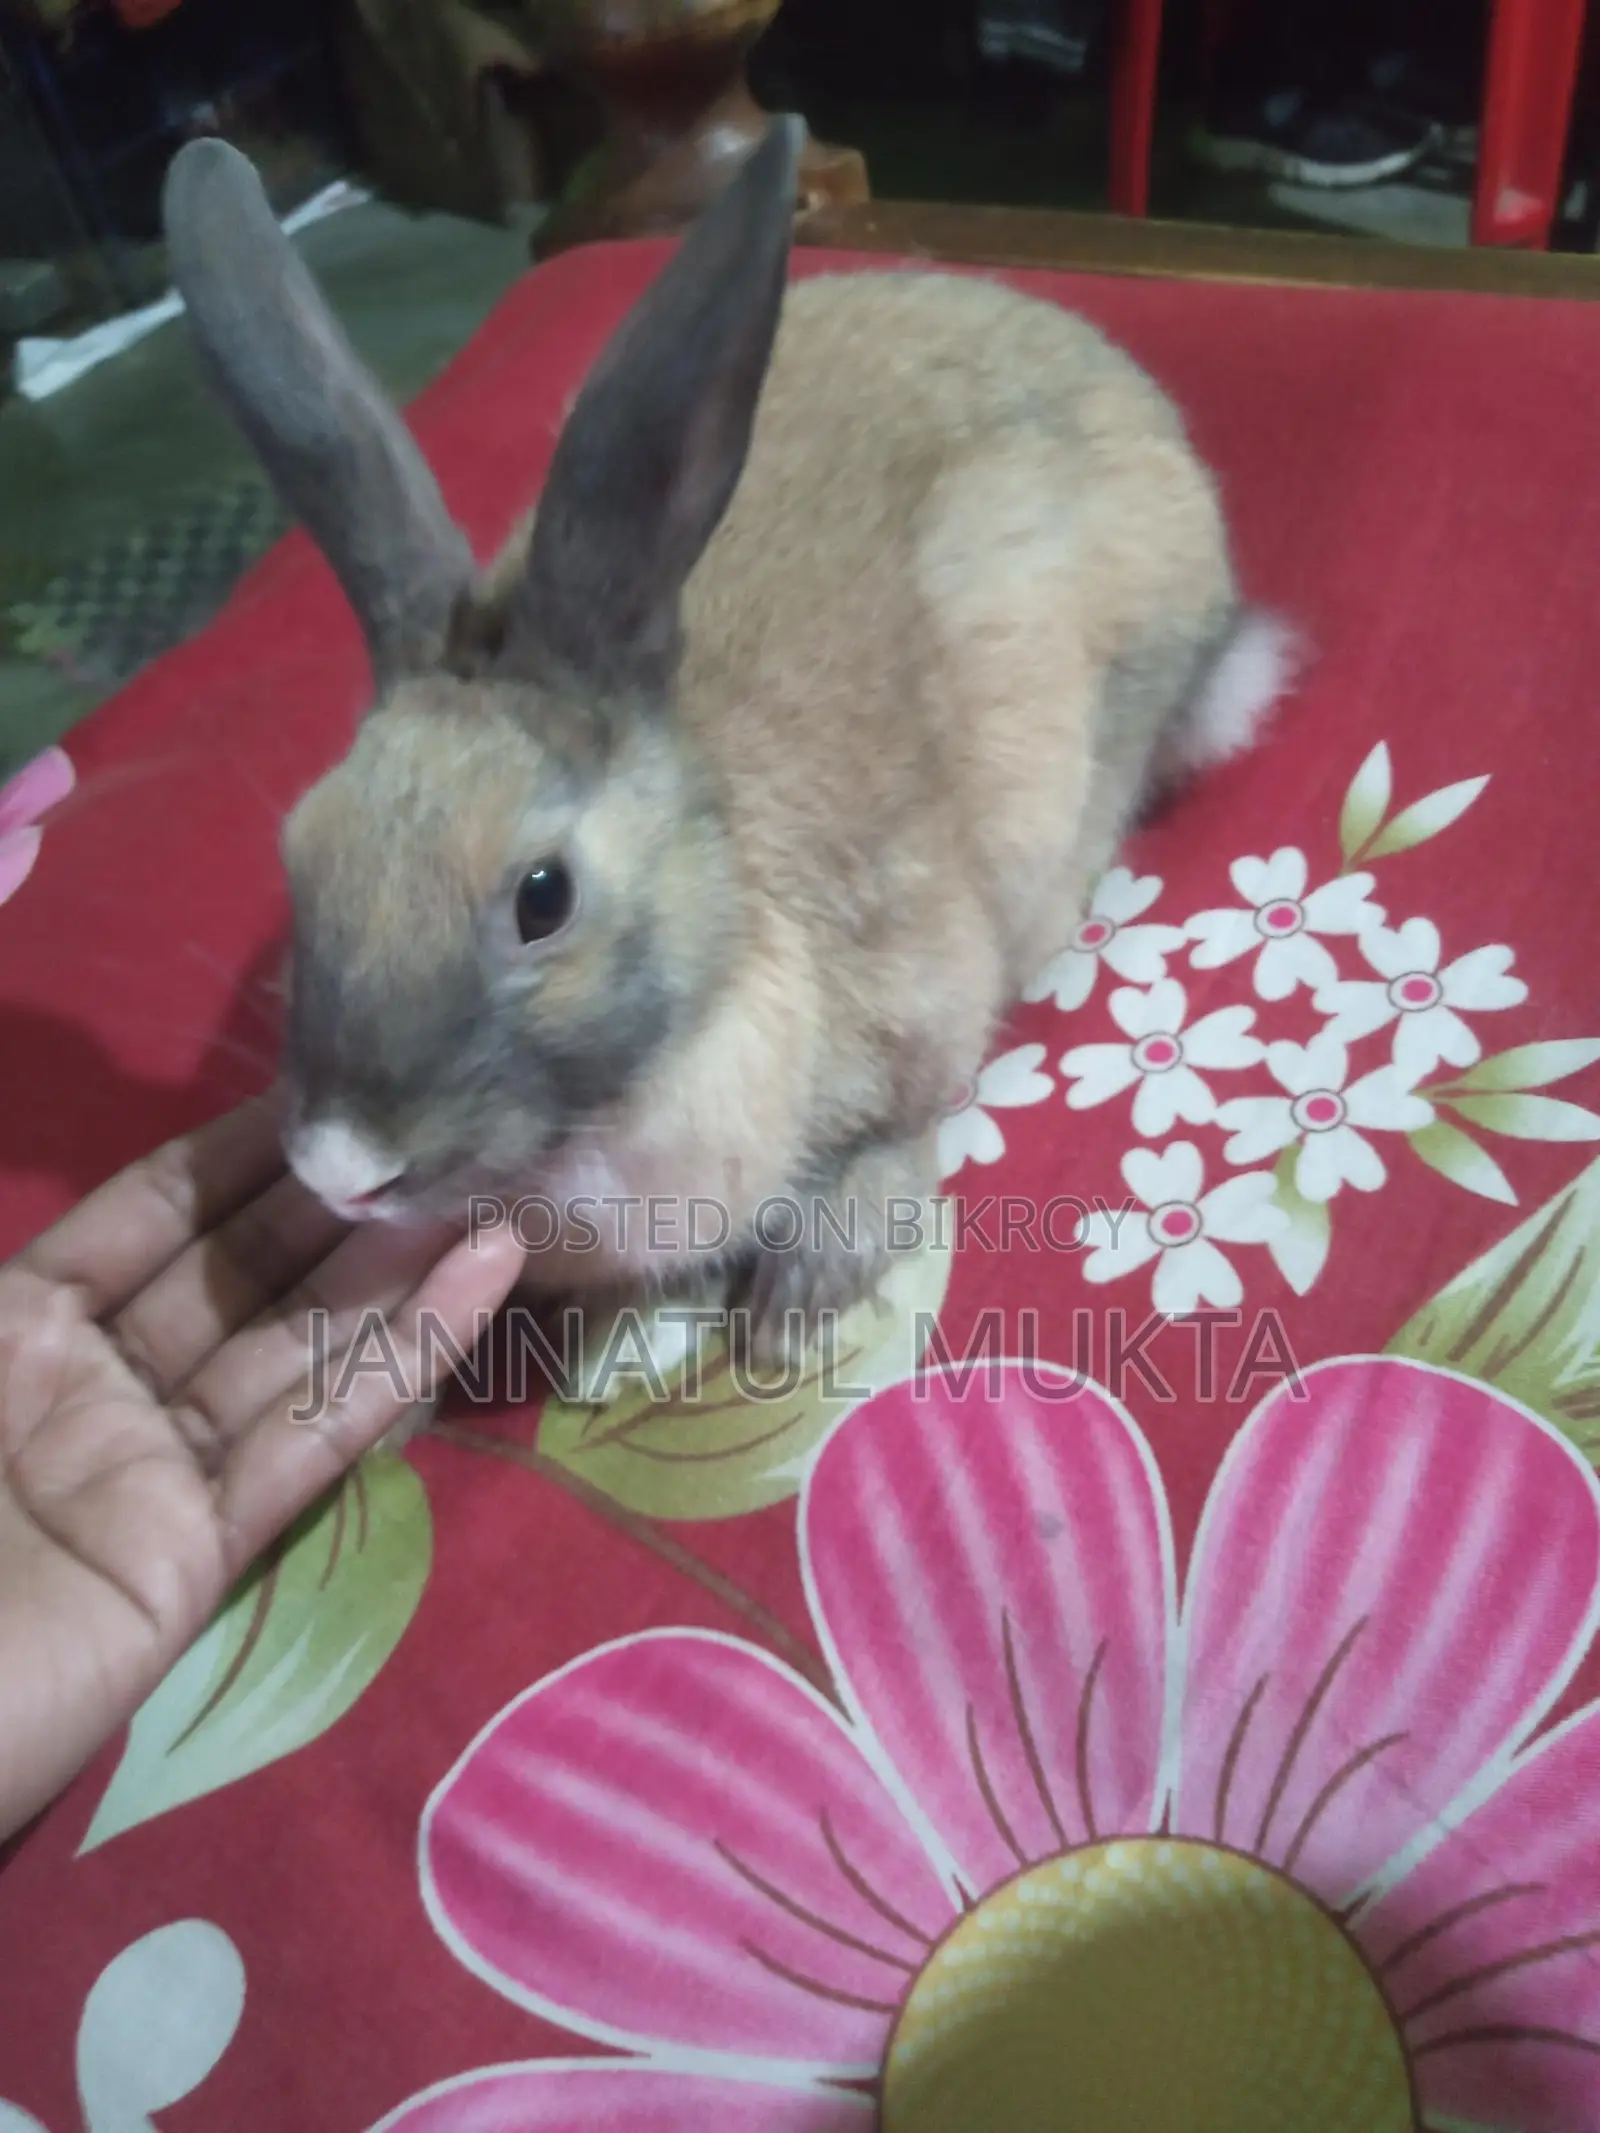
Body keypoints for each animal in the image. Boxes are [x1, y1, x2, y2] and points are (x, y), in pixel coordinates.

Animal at [160, 116, 1291, 1393]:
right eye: (300, 856)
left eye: (542, 898)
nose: (341, 1169)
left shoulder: (920, 1007)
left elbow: (901, 1132)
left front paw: (799, 1305)